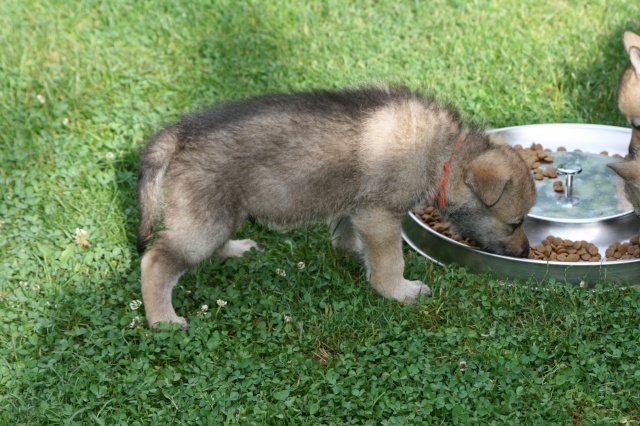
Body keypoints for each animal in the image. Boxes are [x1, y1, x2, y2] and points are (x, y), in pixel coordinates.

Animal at [139, 85, 536, 328]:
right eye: (515, 223)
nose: (525, 254)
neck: (445, 154)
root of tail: (182, 133)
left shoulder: (356, 208)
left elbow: (350, 237)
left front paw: (355, 254)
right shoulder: (379, 213)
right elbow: (391, 261)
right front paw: (399, 291)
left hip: (218, 213)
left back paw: (235, 250)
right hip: (202, 223)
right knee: (155, 261)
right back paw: (163, 321)